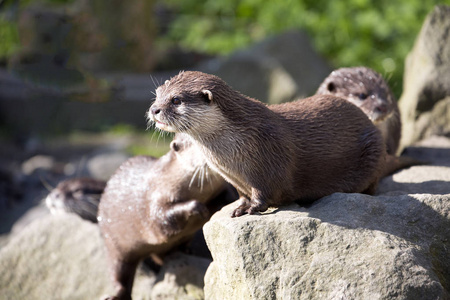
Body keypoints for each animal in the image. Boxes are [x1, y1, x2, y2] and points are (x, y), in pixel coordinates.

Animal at [98, 134, 236, 300]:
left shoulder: (221, 187)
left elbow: (226, 195)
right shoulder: (154, 198)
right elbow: (162, 217)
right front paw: (197, 208)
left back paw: (185, 251)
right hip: (114, 246)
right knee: (119, 276)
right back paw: (114, 295)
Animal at [149, 72, 386, 219]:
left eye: (176, 100)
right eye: (158, 94)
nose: (154, 109)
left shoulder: (269, 159)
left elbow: (265, 193)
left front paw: (251, 209)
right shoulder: (232, 177)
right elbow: (243, 194)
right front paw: (240, 206)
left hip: (374, 150)